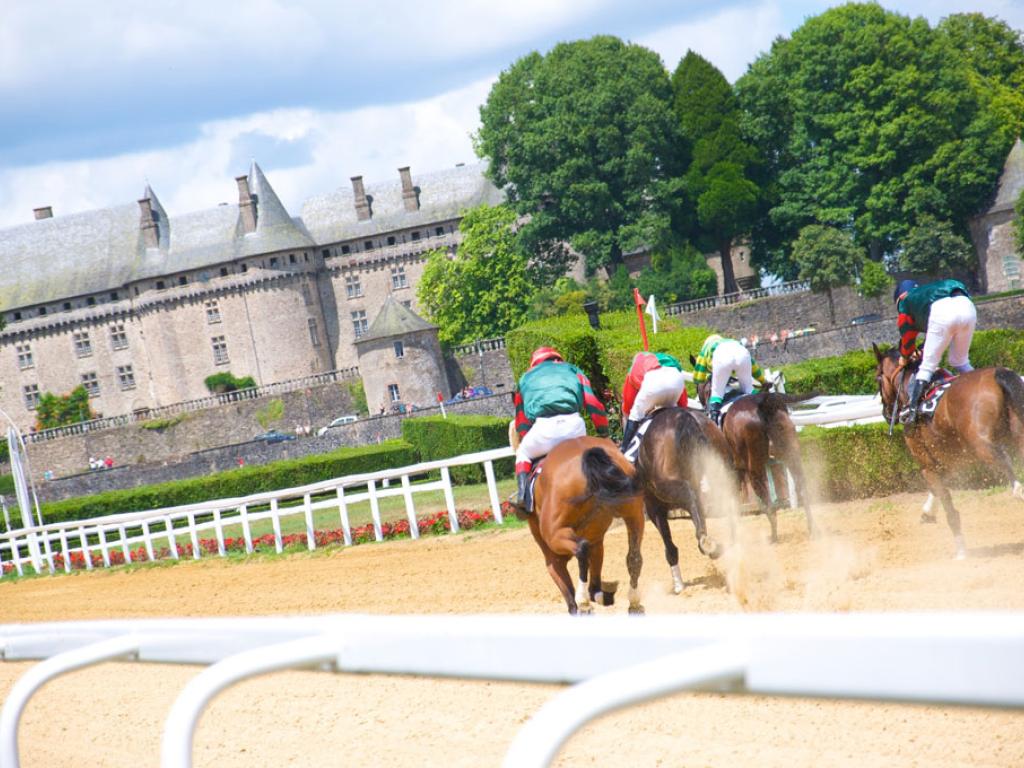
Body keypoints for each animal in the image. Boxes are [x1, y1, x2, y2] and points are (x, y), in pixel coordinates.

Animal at [532, 436, 643, 618]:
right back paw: (634, 603)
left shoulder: (552, 555)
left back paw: (583, 601)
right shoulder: (596, 541)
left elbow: (569, 594)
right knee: (634, 557)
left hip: (555, 535)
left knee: (581, 550)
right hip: (635, 514)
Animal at [634, 409, 733, 593]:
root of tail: (685, 417)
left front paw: (678, 585)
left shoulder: (654, 508)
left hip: (669, 486)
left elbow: (670, 547)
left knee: (689, 495)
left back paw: (706, 543)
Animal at [692, 376, 811, 544]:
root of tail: (764, 405)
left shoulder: (729, 472)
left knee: (767, 502)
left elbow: (731, 503)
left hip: (753, 468)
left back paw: (773, 536)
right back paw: (813, 528)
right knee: (802, 486)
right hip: (791, 453)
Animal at [872, 344, 1024, 561]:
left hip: (983, 445)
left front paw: (961, 551)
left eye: (877, 378)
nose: (886, 412)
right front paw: (927, 512)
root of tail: (999, 374)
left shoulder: (927, 465)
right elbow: (938, 490)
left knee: (1009, 469)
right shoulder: (951, 460)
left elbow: (947, 504)